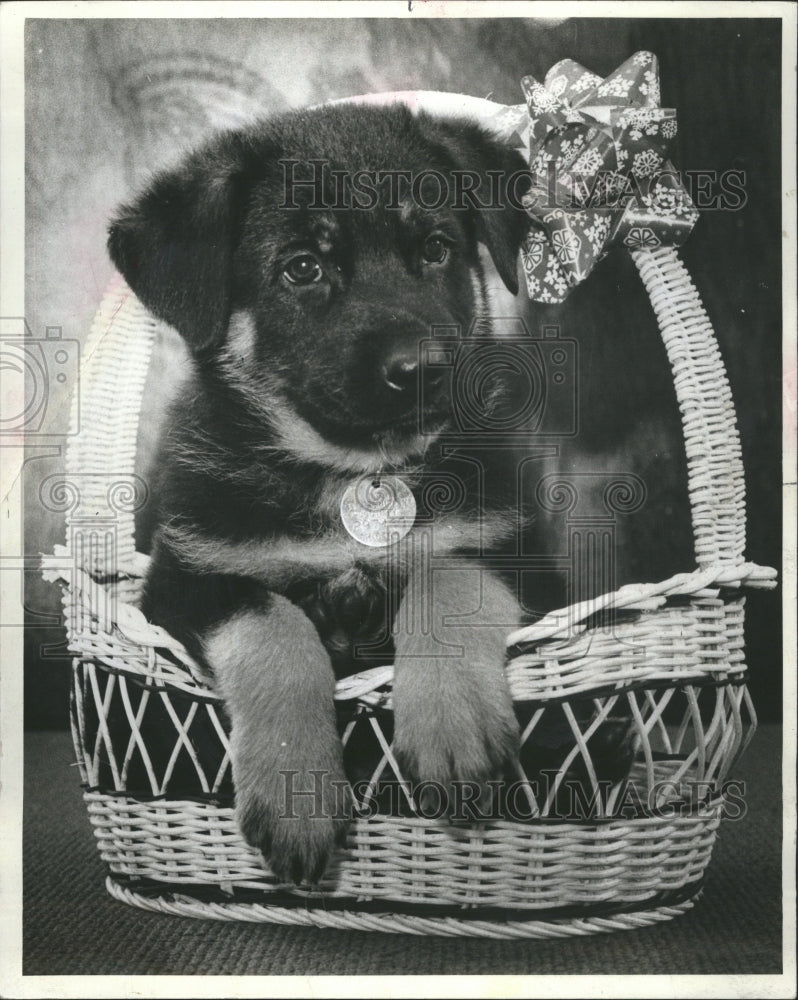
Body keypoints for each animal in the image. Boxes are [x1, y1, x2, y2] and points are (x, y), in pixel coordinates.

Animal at [106, 101, 532, 884]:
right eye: (302, 268)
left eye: (436, 250)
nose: (422, 370)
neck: (355, 472)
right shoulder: (187, 576)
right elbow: (275, 627)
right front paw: (295, 789)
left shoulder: (516, 549)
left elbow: (448, 579)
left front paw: (452, 723)